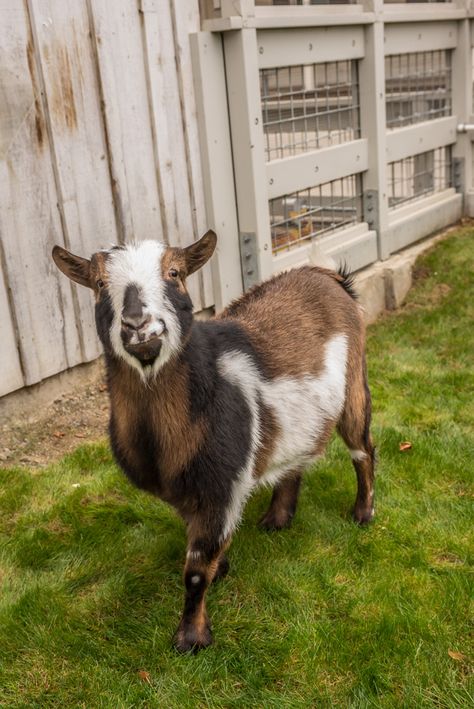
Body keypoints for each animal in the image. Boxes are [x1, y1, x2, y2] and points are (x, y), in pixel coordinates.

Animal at [51, 232, 376, 652]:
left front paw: (191, 638)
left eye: (175, 273)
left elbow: (194, 570)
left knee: (362, 450)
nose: (138, 325)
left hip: (354, 383)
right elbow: (201, 547)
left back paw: (363, 513)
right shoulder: (189, 492)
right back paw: (277, 519)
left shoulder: (222, 484)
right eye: (99, 283)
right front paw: (222, 567)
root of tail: (325, 273)